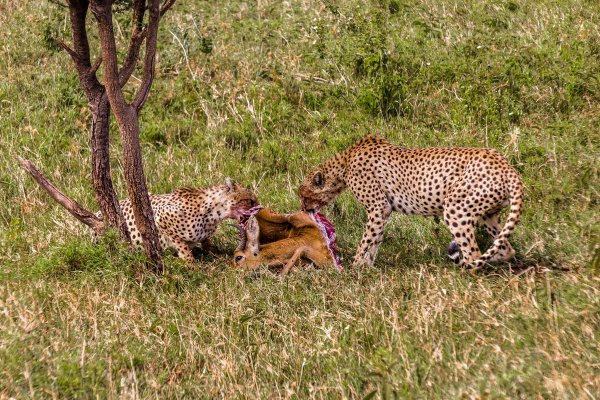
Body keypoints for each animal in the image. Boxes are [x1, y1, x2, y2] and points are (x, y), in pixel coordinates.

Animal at [118, 178, 256, 262]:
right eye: (251, 200)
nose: (258, 208)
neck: (213, 214)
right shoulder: (160, 217)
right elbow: (182, 246)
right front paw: (191, 264)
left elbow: (206, 243)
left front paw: (215, 254)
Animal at [298, 134, 524, 268]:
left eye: (304, 195)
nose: (304, 209)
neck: (345, 162)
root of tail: (506, 165)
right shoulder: (384, 211)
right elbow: (374, 240)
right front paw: (367, 267)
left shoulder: (378, 207)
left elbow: (366, 240)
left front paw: (354, 268)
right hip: (487, 214)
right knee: (505, 249)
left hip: (455, 209)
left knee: (474, 254)